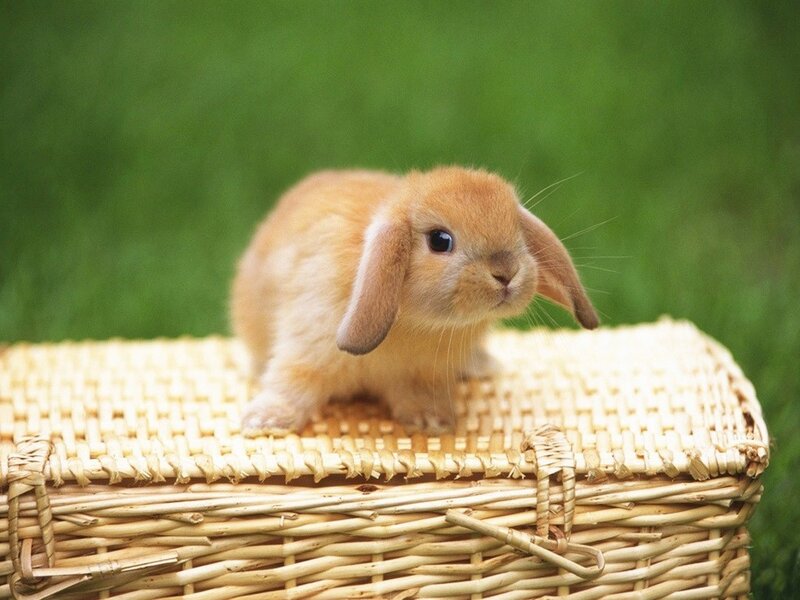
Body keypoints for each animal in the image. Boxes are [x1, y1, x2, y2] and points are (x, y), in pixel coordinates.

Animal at [232, 166, 598, 434]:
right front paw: (264, 421)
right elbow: (291, 383)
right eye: (440, 240)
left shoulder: (423, 374)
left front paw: (432, 422)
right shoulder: (307, 346)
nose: (506, 272)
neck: (415, 322)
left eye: (517, 232)